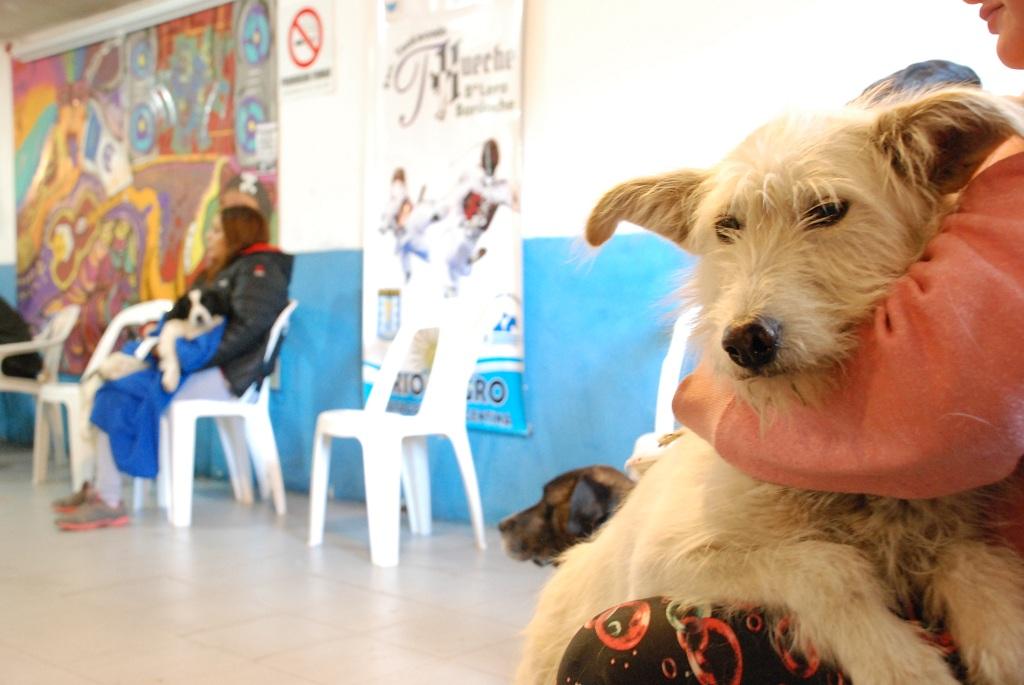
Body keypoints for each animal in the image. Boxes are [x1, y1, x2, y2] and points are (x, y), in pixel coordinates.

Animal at [516, 88, 1024, 679]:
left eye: (827, 211)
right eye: (726, 227)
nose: (745, 341)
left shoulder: (952, 537)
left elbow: (977, 569)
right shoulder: (668, 557)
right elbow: (825, 567)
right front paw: (898, 664)